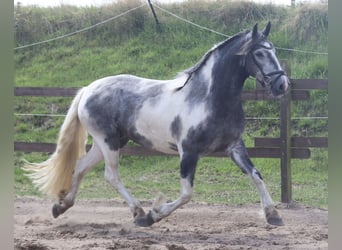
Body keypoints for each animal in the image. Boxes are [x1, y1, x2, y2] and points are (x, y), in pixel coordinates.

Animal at [24, 22, 288, 228]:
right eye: (259, 53)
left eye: (273, 50)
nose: (282, 85)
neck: (207, 98)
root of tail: (88, 89)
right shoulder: (188, 152)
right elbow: (186, 194)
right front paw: (154, 214)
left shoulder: (234, 147)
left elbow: (256, 176)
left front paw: (273, 215)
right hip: (108, 142)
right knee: (111, 175)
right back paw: (139, 213)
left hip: (107, 142)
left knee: (80, 167)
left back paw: (61, 206)